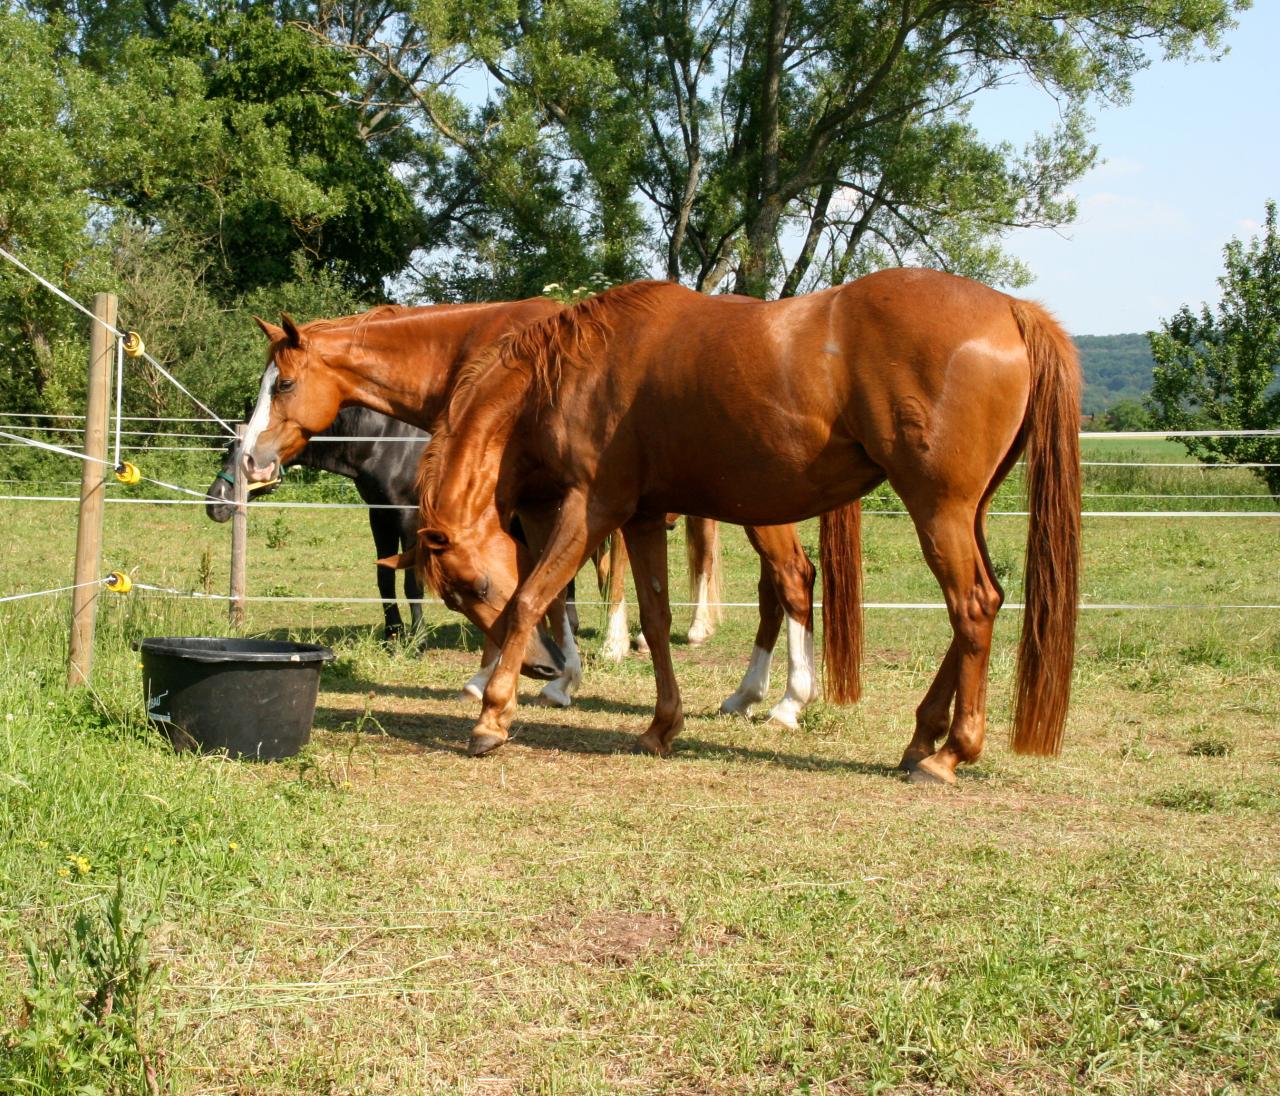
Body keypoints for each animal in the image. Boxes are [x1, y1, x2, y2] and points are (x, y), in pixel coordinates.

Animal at [242, 301, 855, 728]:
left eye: (285, 383)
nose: (249, 457)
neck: (481, 357)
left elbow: (532, 586)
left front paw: (504, 677)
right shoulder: (540, 503)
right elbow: (549, 590)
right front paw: (560, 675)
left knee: (792, 580)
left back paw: (788, 702)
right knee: (777, 589)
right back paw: (747, 695)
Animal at [401, 270, 1081, 785]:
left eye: (474, 587)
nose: (540, 672)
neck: (576, 371)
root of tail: (1011, 309)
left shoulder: (592, 507)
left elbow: (531, 598)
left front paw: (492, 718)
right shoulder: (642, 518)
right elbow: (656, 620)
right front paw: (661, 726)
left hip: (938, 508)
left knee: (972, 605)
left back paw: (948, 754)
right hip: (967, 511)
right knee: (982, 605)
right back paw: (922, 739)